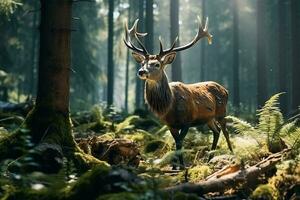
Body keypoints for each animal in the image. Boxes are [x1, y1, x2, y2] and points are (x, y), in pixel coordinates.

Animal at [123, 18, 233, 170]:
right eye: (143, 63)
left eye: (157, 64)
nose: (141, 71)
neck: (170, 106)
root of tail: (226, 90)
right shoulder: (170, 124)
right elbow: (176, 141)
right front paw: (175, 166)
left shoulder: (187, 121)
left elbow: (180, 142)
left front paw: (182, 166)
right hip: (208, 118)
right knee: (216, 131)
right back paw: (210, 158)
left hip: (222, 111)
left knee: (225, 131)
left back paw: (232, 154)